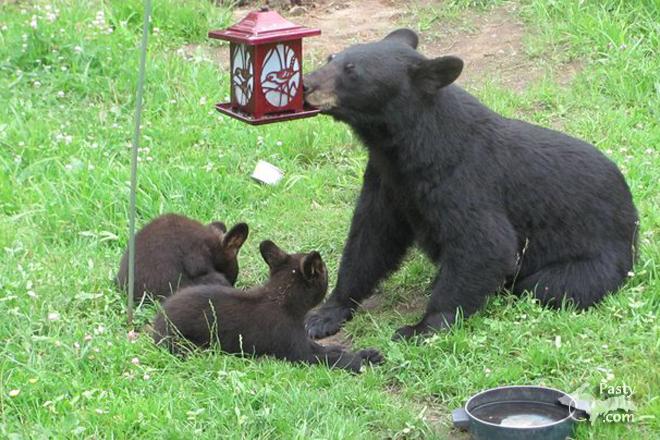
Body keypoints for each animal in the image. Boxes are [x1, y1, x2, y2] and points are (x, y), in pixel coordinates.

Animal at [152, 240, 384, 373]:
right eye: (325, 271)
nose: (328, 272)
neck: (282, 299)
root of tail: (158, 320)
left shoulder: (305, 341)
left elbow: (331, 348)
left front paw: (367, 354)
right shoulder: (299, 353)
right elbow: (330, 357)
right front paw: (357, 361)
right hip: (184, 344)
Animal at [303, 28, 639, 341]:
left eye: (353, 71)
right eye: (331, 57)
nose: (306, 84)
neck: (407, 148)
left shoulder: (464, 179)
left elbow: (485, 243)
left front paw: (420, 327)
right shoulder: (386, 180)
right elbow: (371, 239)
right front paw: (324, 315)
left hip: (594, 262)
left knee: (548, 286)